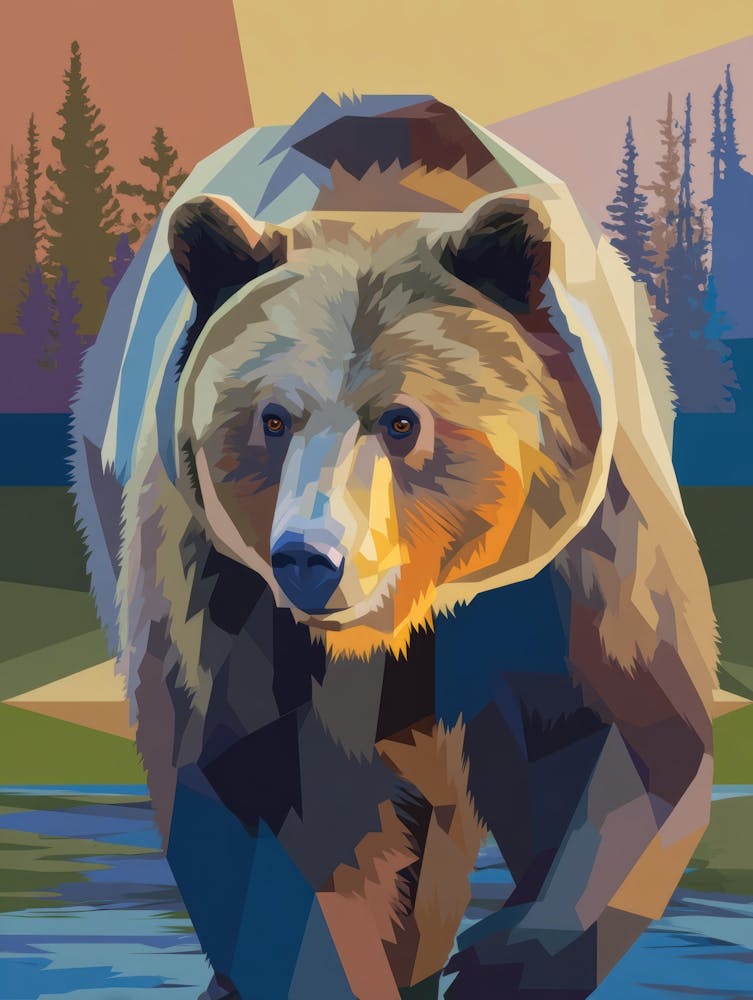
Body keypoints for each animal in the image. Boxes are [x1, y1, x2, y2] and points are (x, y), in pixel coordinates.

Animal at [71, 94, 719, 1000]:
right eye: (272, 417)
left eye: (402, 420)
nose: (310, 558)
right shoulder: (225, 582)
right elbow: (255, 783)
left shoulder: (567, 558)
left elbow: (624, 740)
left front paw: (498, 958)